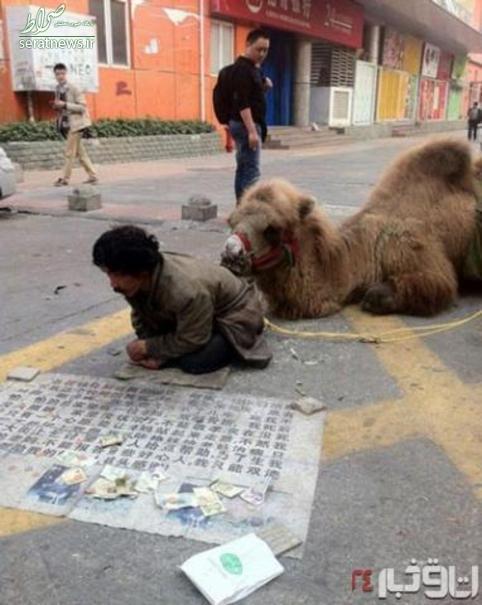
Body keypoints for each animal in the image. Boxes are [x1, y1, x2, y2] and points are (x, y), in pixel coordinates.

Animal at [221, 137, 478, 318]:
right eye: (231, 222)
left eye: (272, 230)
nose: (230, 254)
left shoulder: (419, 254)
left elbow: (435, 285)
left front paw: (374, 297)